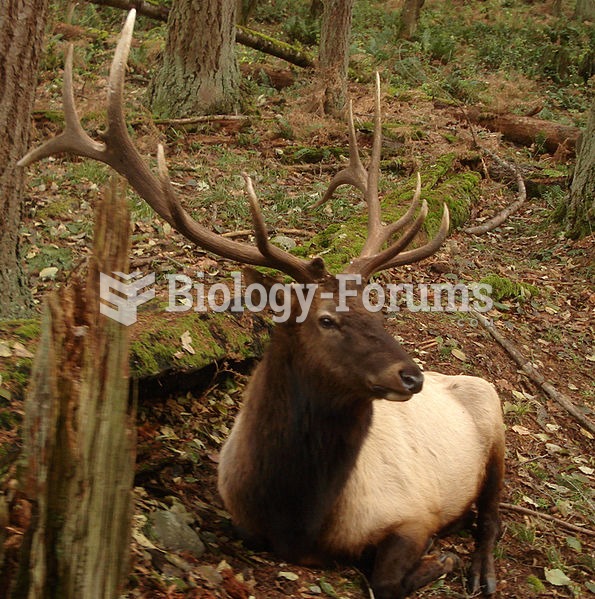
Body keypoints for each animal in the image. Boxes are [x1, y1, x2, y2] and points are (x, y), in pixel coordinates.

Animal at [21, 10, 508, 599]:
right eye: (327, 319)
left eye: (379, 311)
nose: (410, 375)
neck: (296, 514)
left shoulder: (415, 511)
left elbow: (387, 578)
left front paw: (443, 561)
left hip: (496, 424)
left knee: (493, 513)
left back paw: (481, 567)